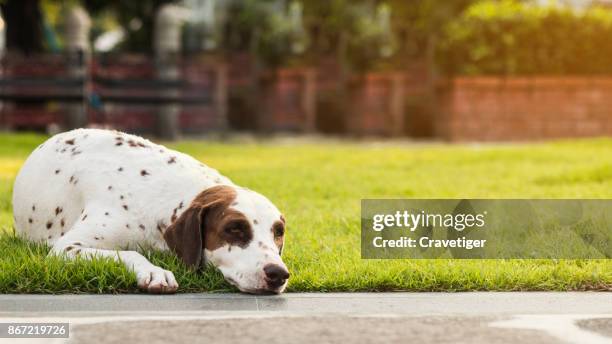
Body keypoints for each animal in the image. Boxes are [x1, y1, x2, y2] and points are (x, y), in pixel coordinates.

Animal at [11, 127, 290, 294]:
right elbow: (130, 253)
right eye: (234, 229)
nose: (278, 273)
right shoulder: (66, 249)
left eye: (278, 233)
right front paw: (154, 271)